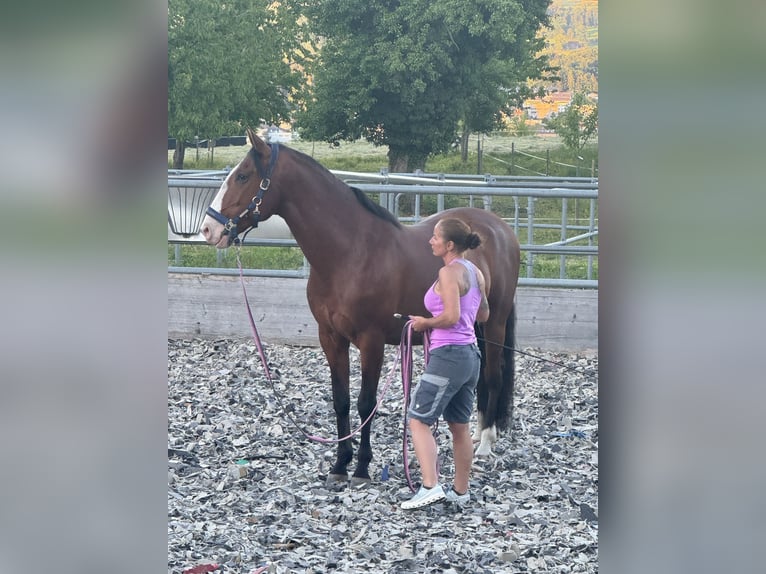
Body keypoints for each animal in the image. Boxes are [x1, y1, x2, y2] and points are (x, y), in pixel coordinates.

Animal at [200, 128, 520, 485]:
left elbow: (366, 403)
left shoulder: (371, 340)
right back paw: (476, 434)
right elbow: (341, 401)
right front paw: (340, 464)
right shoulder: (330, 338)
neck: (351, 253)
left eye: (243, 175)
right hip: (476, 327)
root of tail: (498, 228)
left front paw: (363, 467)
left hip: (495, 323)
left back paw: (486, 444)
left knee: (493, 376)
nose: (209, 229)